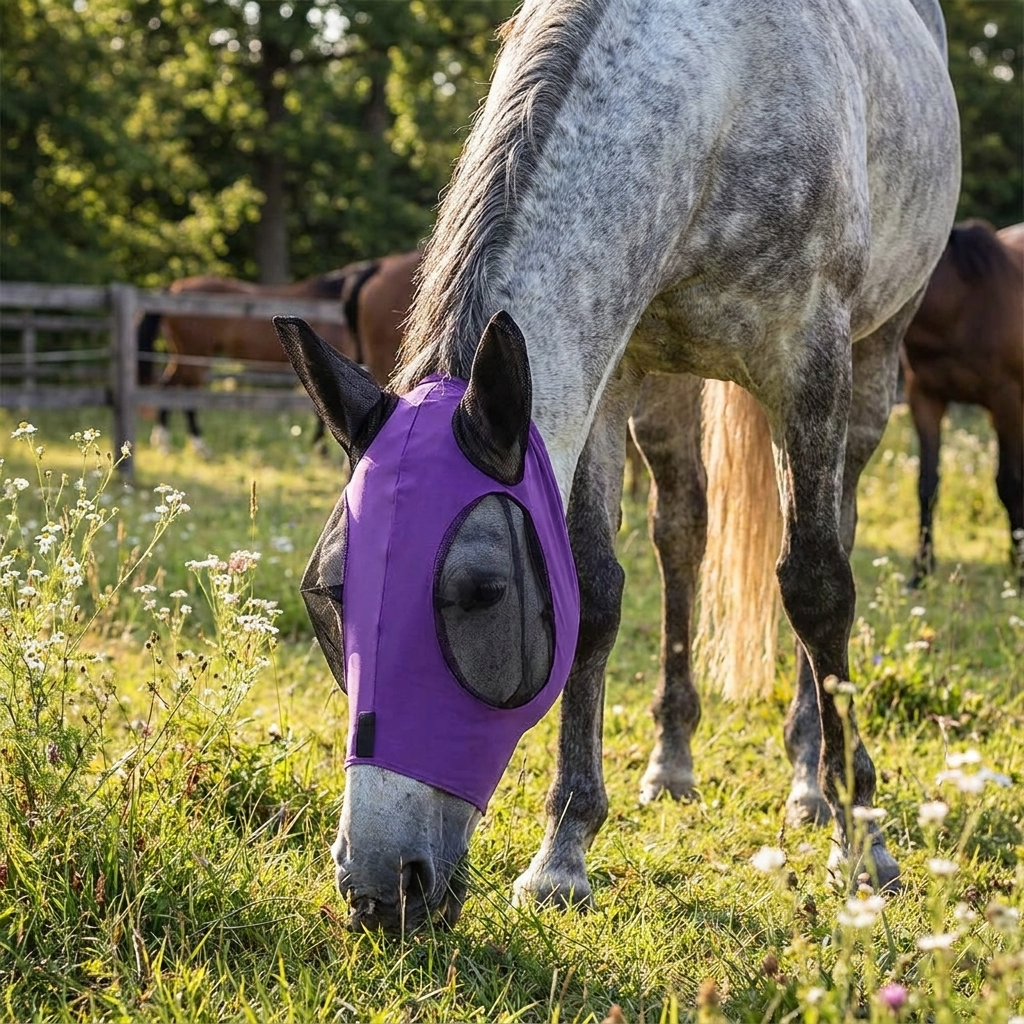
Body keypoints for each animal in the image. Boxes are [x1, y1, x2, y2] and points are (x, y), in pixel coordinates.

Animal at [138, 252, 418, 453]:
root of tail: (173, 288)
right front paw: (319, 447)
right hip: (196, 358)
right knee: (182, 393)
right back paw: (194, 445)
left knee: (169, 387)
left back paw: (165, 442)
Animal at [279, 0, 959, 934]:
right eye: (329, 592)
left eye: (483, 591)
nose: (380, 886)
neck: (723, 93)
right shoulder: (604, 378)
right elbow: (597, 593)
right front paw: (563, 853)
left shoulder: (810, 357)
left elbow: (818, 589)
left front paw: (864, 845)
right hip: (667, 392)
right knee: (683, 534)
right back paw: (673, 762)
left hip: (872, 359)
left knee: (831, 545)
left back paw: (810, 782)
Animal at [902, 220, 1024, 586]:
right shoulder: (925, 398)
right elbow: (927, 484)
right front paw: (921, 571)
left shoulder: (1006, 400)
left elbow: (1009, 483)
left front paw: (1018, 567)